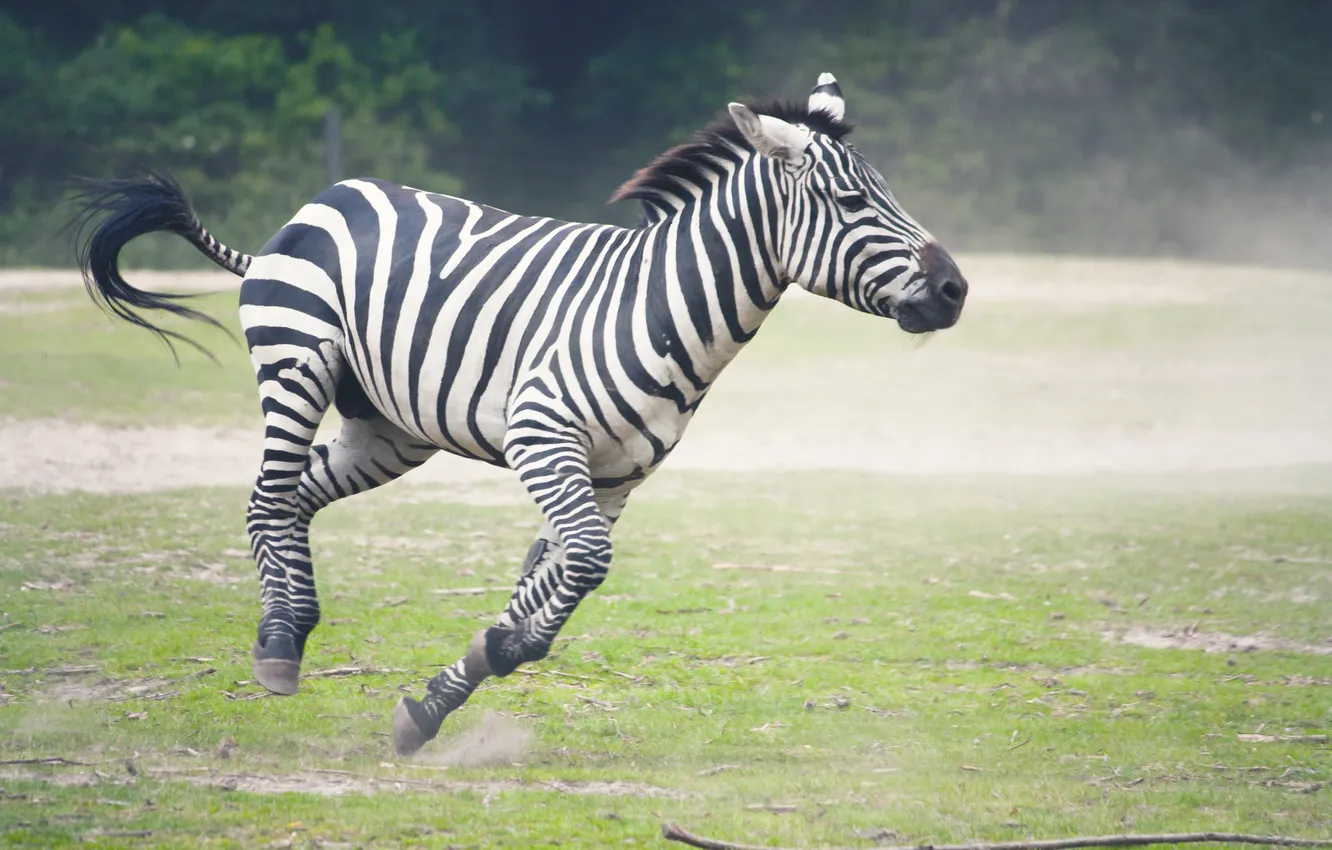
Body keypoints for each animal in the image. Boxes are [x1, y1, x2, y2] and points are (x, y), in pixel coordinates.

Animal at [72, 69, 969, 756]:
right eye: (850, 201)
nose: (957, 290)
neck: (661, 310)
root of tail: (326, 196)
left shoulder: (616, 477)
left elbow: (555, 578)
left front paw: (445, 693)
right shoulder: (543, 438)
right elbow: (585, 565)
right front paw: (490, 653)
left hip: (389, 429)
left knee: (293, 497)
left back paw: (289, 628)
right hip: (297, 363)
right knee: (266, 495)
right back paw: (280, 647)